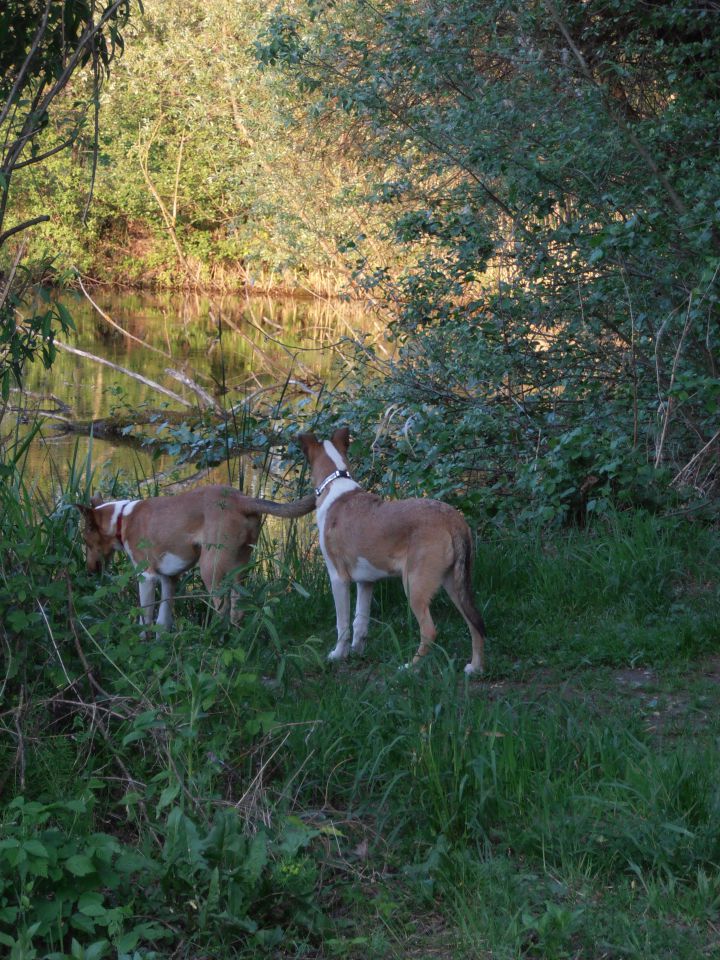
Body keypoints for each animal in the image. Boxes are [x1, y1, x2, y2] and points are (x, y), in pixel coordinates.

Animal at [77, 488, 316, 632]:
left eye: (86, 541)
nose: (89, 571)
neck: (121, 518)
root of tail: (242, 499)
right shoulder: (169, 578)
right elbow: (163, 619)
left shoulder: (146, 576)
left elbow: (145, 617)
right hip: (239, 567)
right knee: (237, 608)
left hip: (210, 568)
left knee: (222, 608)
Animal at [298, 428, 490, 676]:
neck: (336, 483)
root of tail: (452, 518)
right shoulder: (366, 582)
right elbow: (360, 622)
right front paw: (357, 652)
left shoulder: (338, 578)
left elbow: (342, 624)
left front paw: (338, 655)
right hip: (454, 583)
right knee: (474, 624)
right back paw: (475, 667)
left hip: (414, 585)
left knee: (430, 630)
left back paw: (409, 667)